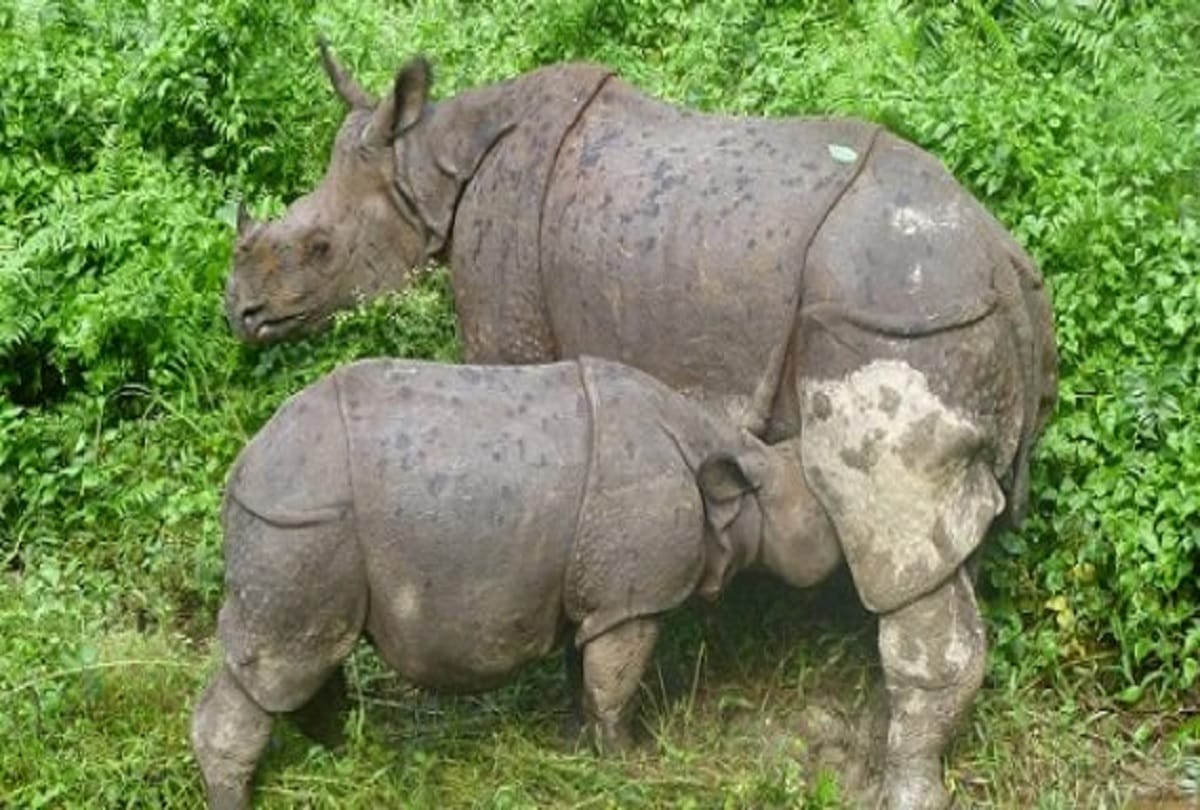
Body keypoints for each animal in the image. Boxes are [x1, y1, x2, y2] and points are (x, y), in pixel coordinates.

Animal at [190, 356, 841, 809]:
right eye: (820, 512)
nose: (846, 553)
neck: (728, 479)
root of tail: (243, 469)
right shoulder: (633, 600)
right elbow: (616, 684)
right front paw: (630, 762)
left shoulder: (597, 593)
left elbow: (587, 672)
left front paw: (579, 745)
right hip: (298, 521)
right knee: (283, 661)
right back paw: (240, 797)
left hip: (303, 522)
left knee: (313, 654)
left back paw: (345, 755)